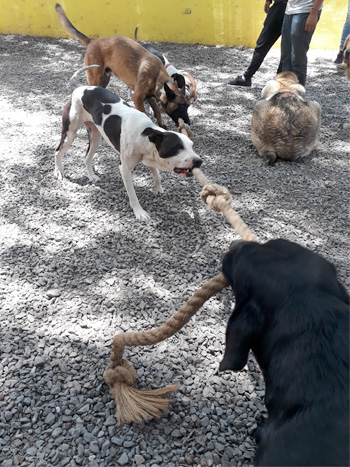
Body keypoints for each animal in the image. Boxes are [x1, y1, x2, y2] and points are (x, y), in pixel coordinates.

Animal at [54, 65, 202, 222]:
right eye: (178, 147)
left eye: (191, 146)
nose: (199, 161)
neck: (144, 134)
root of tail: (78, 88)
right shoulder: (125, 169)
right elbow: (132, 194)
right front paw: (139, 212)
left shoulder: (149, 157)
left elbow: (157, 175)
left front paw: (157, 188)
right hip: (69, 134)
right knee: (58, 151)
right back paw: (59, 171)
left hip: (95, 137)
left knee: (87, 157)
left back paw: (91, 176)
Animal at [55, 3, 190, 130]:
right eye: (181, 106)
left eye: (188, 106)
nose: (188, 123)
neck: (157, 77)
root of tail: (92, 41)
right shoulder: (138, 98)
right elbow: (145, 113)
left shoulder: (151, 97)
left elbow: (157, 111)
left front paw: (161, 124)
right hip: (95, 78)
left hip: (105, 79)